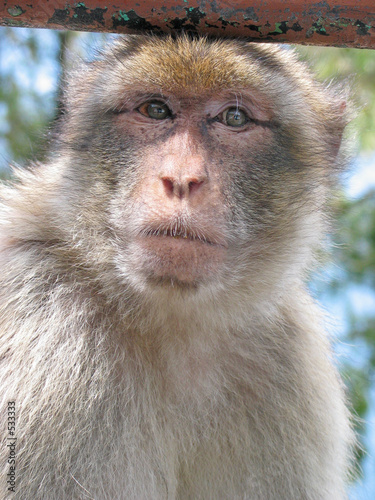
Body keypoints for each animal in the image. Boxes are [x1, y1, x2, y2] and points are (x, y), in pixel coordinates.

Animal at [0, 35, 354, 500]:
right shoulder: (44, 332)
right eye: (155, 110)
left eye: (234, 118)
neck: (172, 321)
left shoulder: (292, 362)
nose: (181, 180)